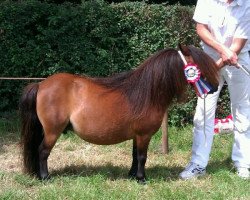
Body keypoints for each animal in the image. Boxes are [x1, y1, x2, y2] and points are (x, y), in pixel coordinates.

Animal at [19, 45, 219, 183]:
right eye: (199, 66)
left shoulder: (137, 135)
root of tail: (41, 84)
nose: (215, 88)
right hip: (53, 131)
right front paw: (141, 178)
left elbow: (134, 155)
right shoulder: (144, 135)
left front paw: (132, 175)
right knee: (42, 151)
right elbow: (142, 156)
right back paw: (45, 177)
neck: (147, 93)